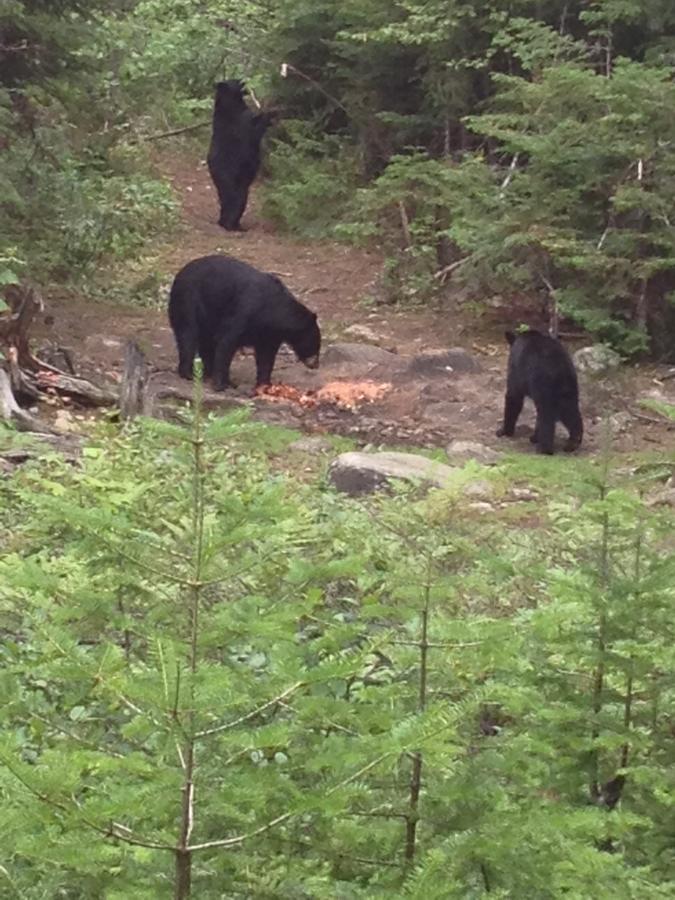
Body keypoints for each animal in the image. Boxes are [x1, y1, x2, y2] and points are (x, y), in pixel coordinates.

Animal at [166, 255, 320, 392]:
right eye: (316, 344)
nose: (316, 364)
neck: (272, 312)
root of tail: (179, 274)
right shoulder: (244, 311)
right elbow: (226, 342)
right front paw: (221, 384)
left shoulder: (270, 334)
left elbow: (266, 356)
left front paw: (264, 385)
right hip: (187, 301)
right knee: (188, 334)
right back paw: (188, 373)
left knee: (205, 342)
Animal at [209, 80, 278, 232]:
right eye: (236, 81)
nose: (244, 81)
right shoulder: (242, 122)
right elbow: (255, 130)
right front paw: (271, 113)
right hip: (230, 178)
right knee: (235, 200)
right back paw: (231, 225)